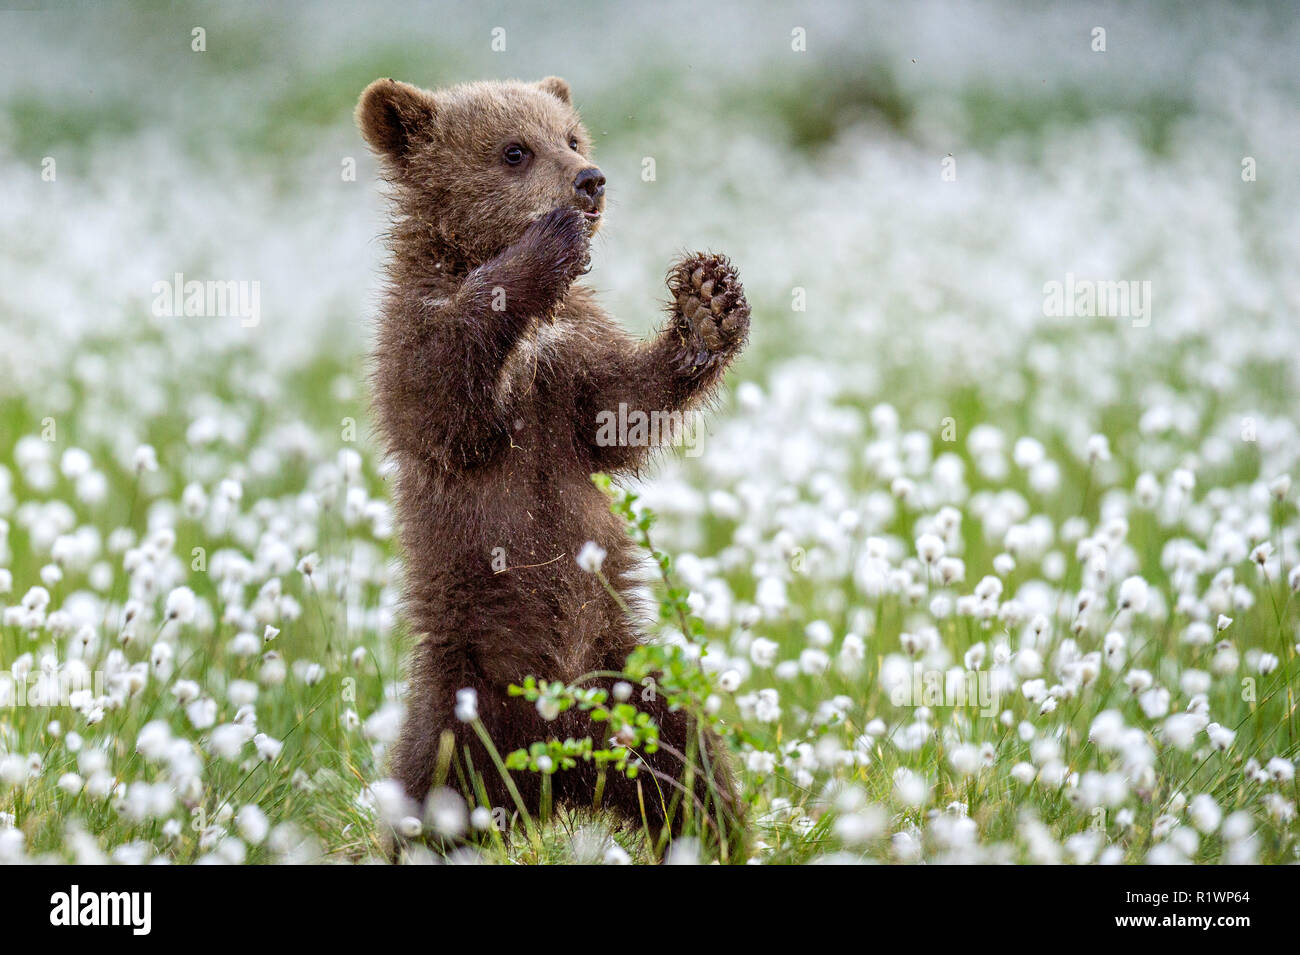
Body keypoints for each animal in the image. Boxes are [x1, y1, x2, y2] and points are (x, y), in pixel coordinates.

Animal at [356, 75, 751, 859]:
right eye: (515, 149)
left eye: (571, 137)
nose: (589, 181)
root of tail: (557, 769)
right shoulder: (415, 333)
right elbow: (442, 400)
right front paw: (546, 247)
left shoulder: (573, 360)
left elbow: (623, 411)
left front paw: (708, 304)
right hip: (458, 704)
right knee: (426, 796)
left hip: (629, 686)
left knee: (691, 772)